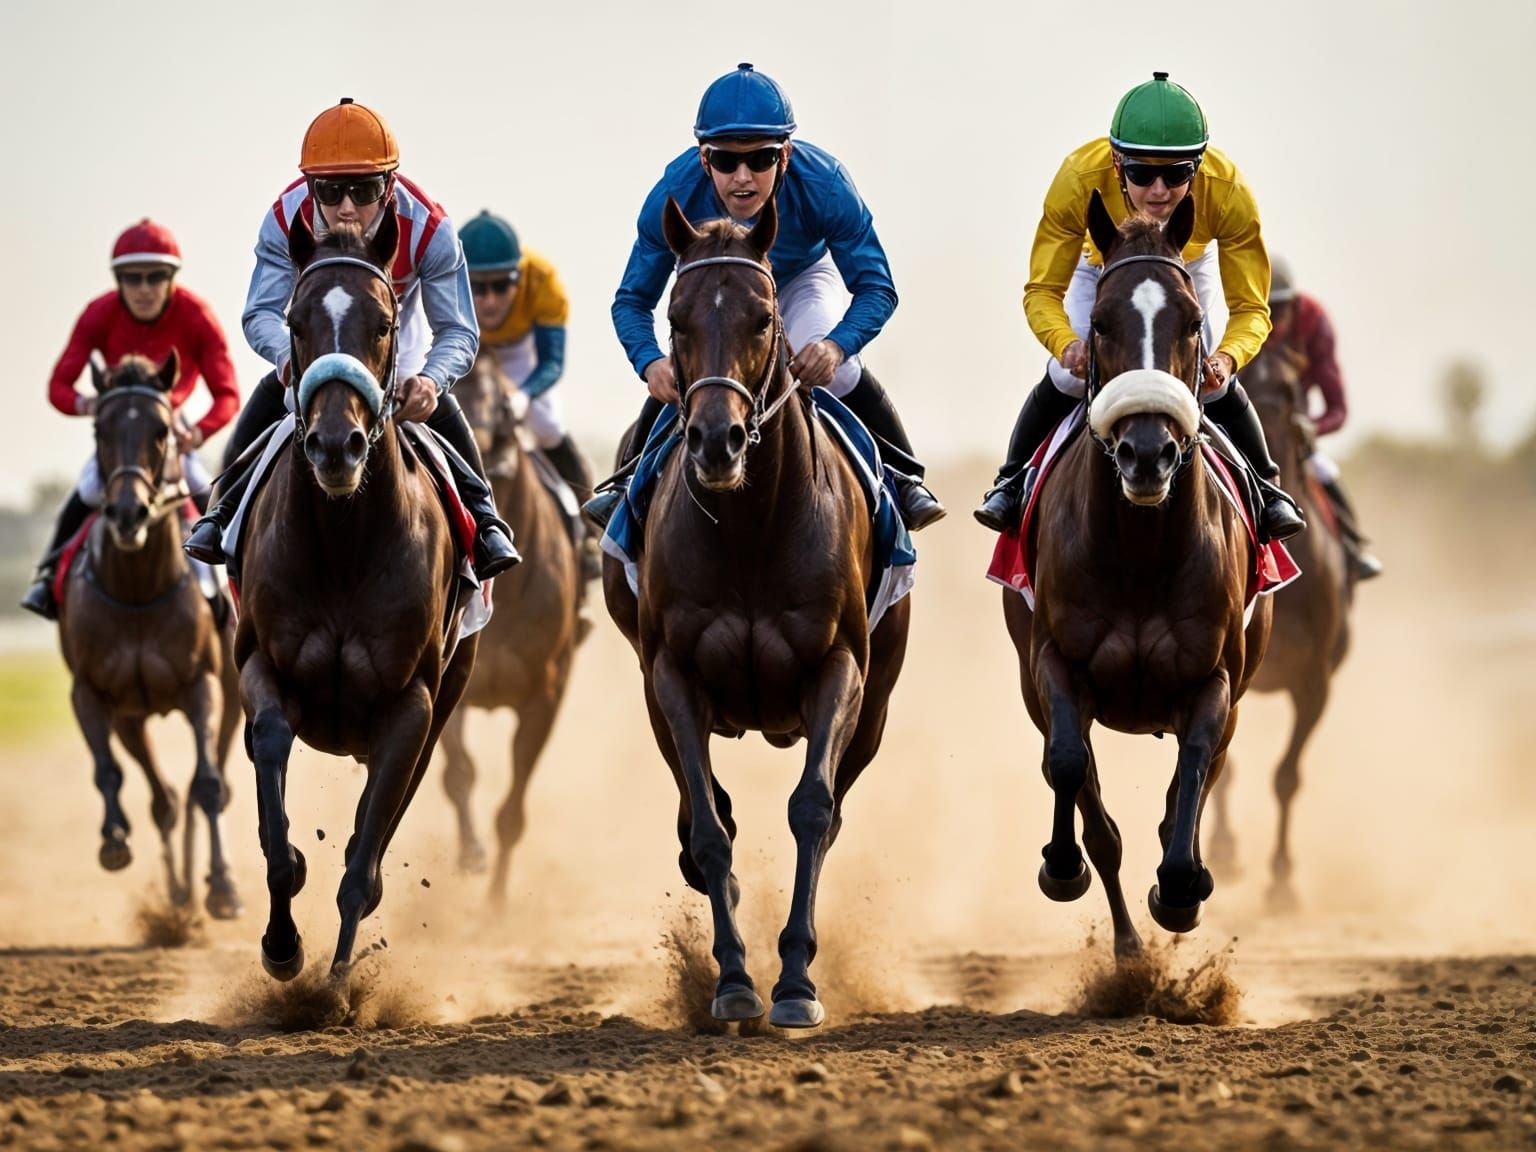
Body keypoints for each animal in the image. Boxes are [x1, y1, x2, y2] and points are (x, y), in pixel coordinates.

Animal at [58, 353, 243, 919]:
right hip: (132, 719)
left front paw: (223, 886)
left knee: (210, 786)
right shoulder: (92, 693)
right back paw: (178, 894)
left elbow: (208, 784)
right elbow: (108, 772)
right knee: (164, 799)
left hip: (233, 700)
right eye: (99, 429)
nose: (128, 512)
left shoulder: (203, 687)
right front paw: (114, 840)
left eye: (163, 431)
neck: (139, 591)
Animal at [233, 205, 478, 981]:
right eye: (296, 319)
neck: (345, 544)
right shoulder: (261, 667)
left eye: (384, 322)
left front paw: (338, 983)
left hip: (445, 697)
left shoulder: (412, 706)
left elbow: (362, 861)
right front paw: (284, 946)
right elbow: (271, 755)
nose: (336, 446)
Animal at [441, 349, 580, 899]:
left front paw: (497, 902)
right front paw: (471, 855)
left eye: (503, 405)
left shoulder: (548, 690)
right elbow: (459, 774)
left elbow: (513, 813)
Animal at [601, 197, 911, 1029]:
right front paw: (735, 978)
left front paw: (797, 981)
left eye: (764, 317)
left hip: (877, 700)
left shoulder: (840, 668)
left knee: (834, 804)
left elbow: (812, 809)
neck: (748, 530)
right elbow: (711, 829)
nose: (717, 441)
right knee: (700, 803)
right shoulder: (670, 674)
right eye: (675, 318)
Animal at [1003, 191, 1272, 960]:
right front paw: (1063, 867)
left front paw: (1181, 888)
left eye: (1193, 323)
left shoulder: (1216, 682)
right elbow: (1069, 768)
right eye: (1099, 324)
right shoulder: (1054, 665)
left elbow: (1195, 768)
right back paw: (1126, 945)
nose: (1147, 453)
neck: (1141, 553)